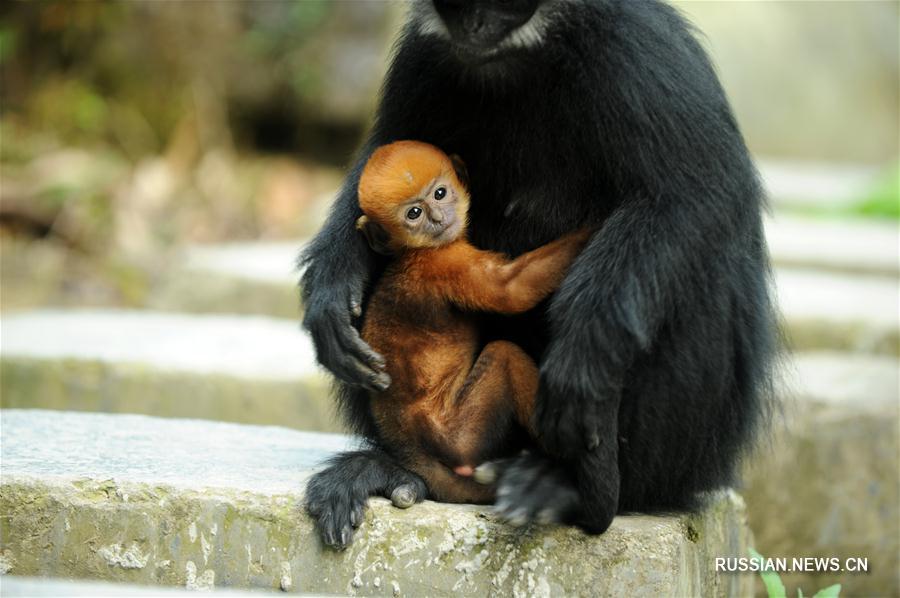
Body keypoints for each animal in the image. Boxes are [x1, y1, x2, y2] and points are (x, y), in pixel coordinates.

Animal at [358, 142, 592, 506]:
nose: (438, 219)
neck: (414, 252)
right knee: (505, 354)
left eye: (440, 193)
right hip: (461, 437)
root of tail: (408, 448)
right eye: (414, 214)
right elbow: (510, 290)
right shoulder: (446, 262)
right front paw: (595, 224)